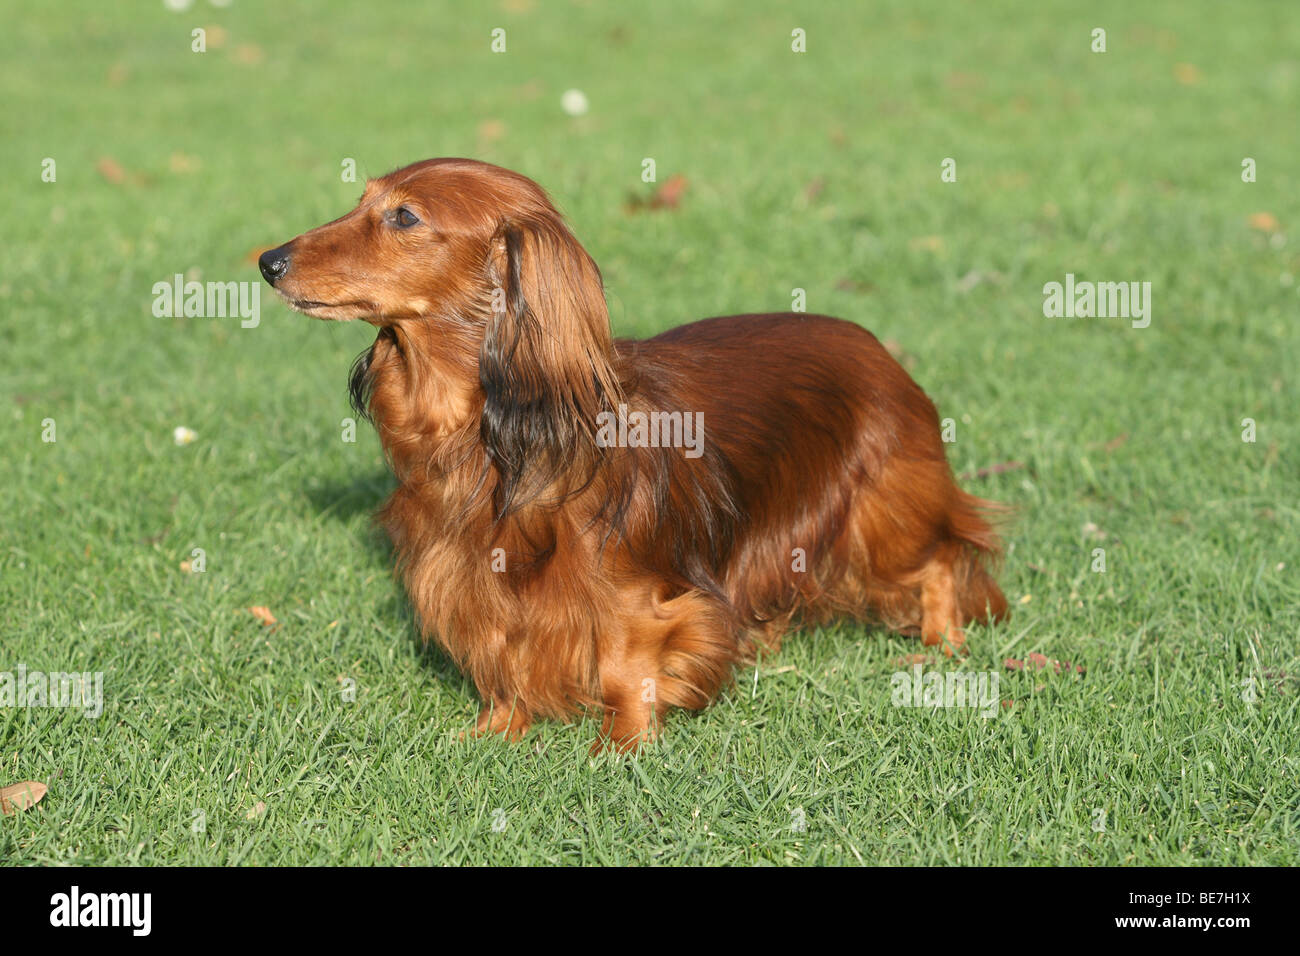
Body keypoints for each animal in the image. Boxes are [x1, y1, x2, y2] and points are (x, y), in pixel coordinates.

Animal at [253, 158, 1003, 754]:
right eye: (361, 200)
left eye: (404, 216)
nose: (268, 261)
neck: (483, 433)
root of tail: (878, 348)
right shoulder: (473, 578)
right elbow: (502, 656)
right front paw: (495, 732)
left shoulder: (629, 595)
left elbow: (622, 665)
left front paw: (622, 746)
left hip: (881, 515)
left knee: (943, 557)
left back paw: (943, 644)